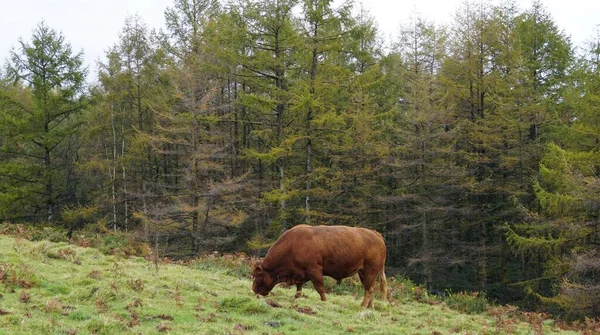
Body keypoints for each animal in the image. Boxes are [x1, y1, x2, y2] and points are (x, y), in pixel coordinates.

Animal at [251, 226, 386, 310]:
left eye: (256, 277)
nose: (254, 290)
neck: (292, 245)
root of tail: (376, 234)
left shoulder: (314, 270)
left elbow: (320, 288)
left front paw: (324, 301)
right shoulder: (300, 274)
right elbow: (299, 290)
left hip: (370, 271)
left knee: (369, 289)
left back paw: (362, 306)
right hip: (363, 272)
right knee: (371, 288)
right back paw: (370, 307)